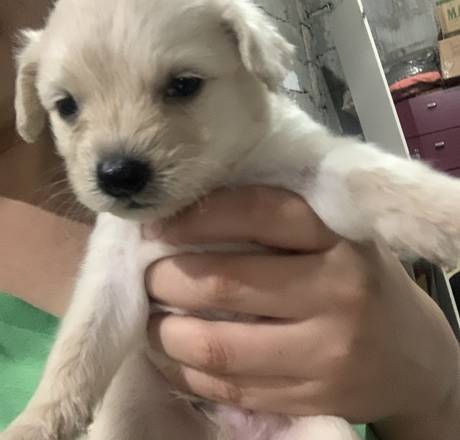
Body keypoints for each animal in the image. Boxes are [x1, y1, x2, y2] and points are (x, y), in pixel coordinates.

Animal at [3, 0, 460, 439]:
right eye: (66, 106)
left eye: (183, 85)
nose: (118, 175)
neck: (209, 187)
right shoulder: (113, 275)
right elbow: (77, 352)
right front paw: (33, 425)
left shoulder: (316, 170)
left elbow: (378, 179)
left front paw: (446, 215)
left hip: (324, 428)